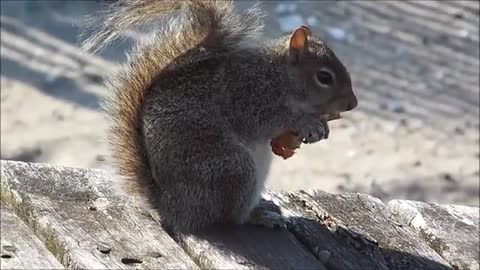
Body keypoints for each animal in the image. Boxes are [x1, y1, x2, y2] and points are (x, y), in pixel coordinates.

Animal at [82, 0, 358, 233]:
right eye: (324, 77)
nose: (353, 104)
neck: (280, 75)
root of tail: (172, 207)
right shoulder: (247, 95)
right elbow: (268, 119)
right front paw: (307, 123)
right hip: (233, 168)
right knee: (231, 218)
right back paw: (260, 217)